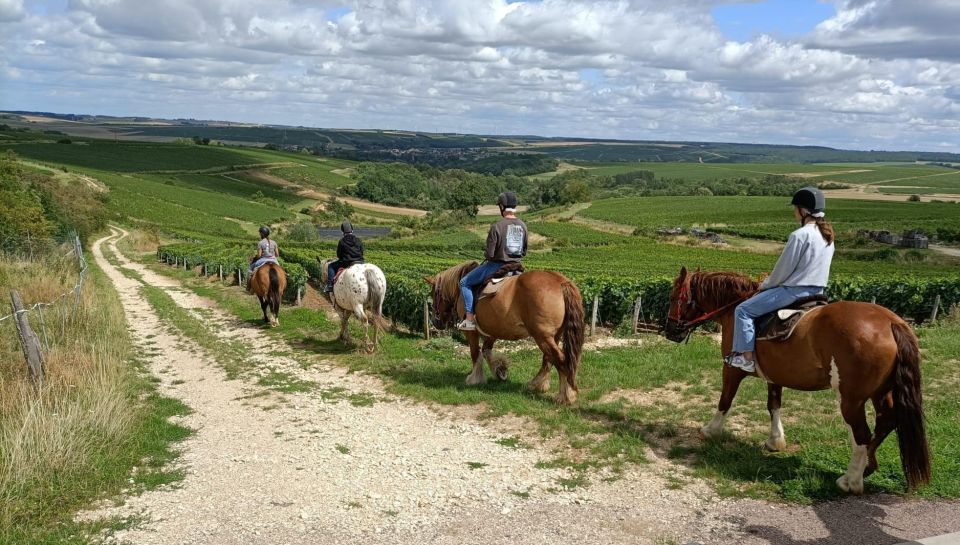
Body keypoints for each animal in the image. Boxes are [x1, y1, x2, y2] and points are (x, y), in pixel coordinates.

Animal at [426, 262, 584, 406]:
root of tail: (561, 281)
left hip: (542, 336)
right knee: (549, 359)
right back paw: (537, 384)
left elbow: (475, 354)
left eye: (433, 294)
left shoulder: (471, 333)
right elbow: (486, 351)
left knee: (561, 360)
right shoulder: (493, 330)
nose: (435, 321)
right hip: (552, 336)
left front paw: (475, 378)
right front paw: (500, 370)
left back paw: (565, 396)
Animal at [664, 266, 928, 492]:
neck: (734, 307)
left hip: (851, 400)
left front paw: (711, 430)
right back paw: (867, 468)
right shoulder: (775, 376)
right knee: (886, 421)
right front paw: (775, 440)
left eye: (673, 296)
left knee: (863, 434)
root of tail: (891, 322)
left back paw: (851, 480)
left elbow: (725, 401)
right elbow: (773, 405)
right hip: (880, 392)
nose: (669, 331)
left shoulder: (732, 369)